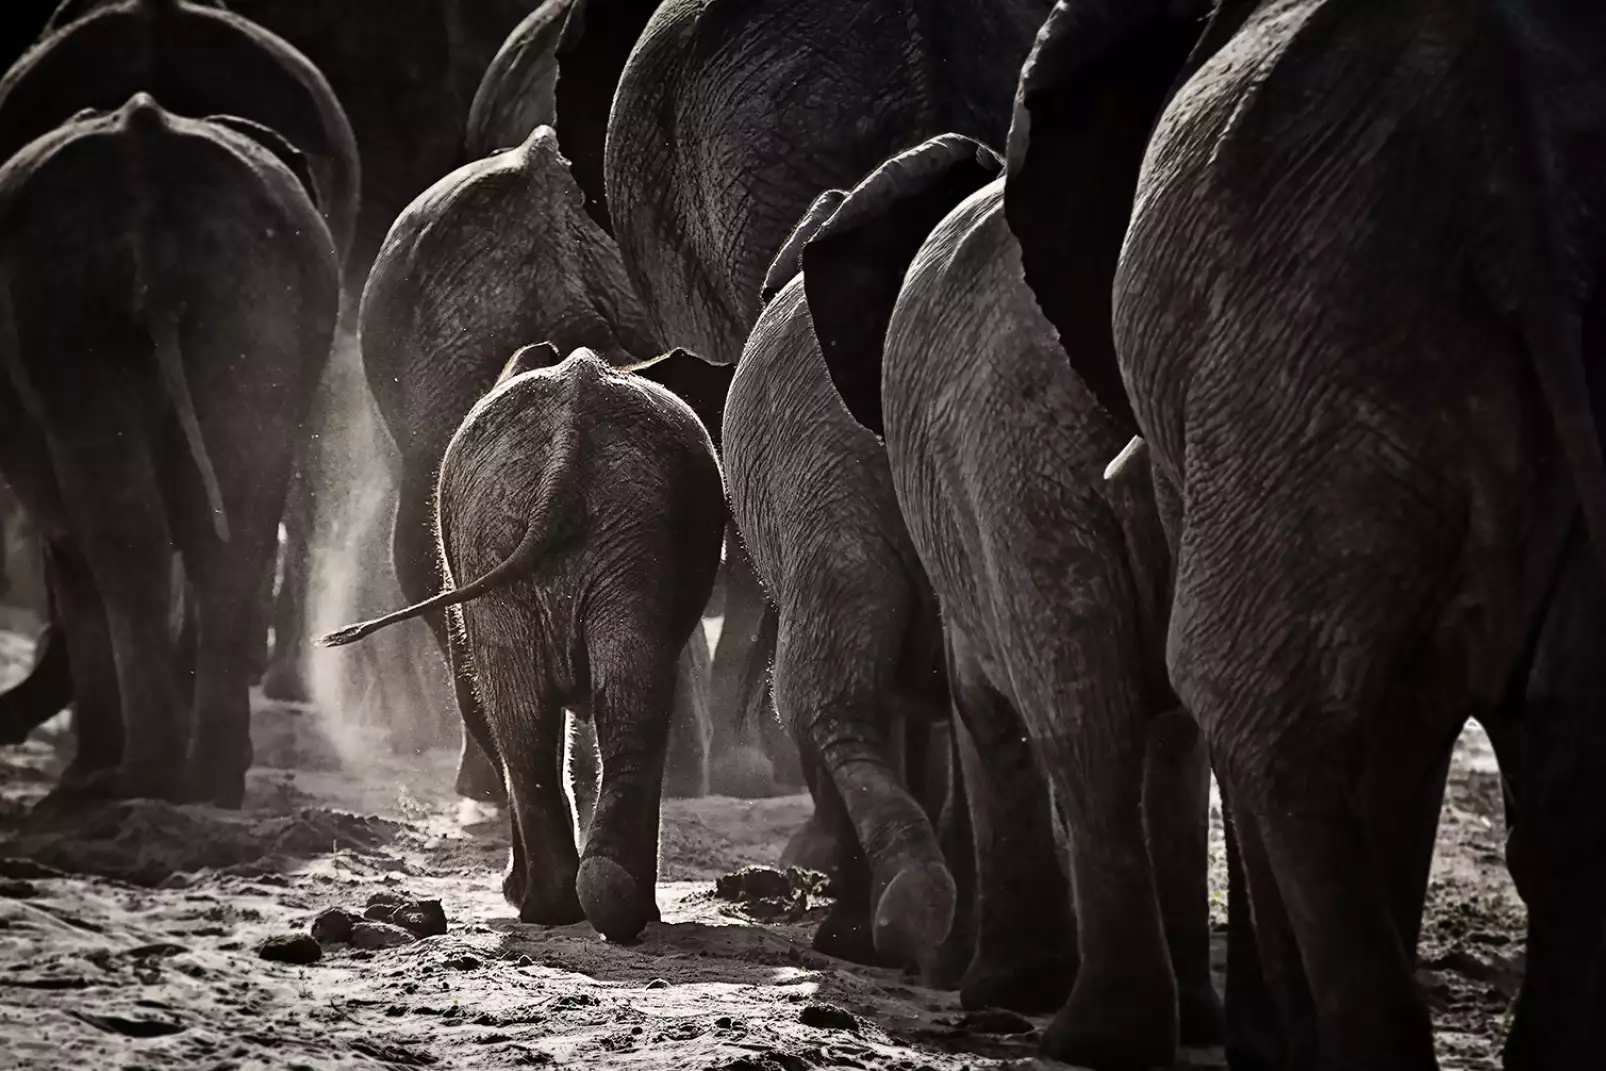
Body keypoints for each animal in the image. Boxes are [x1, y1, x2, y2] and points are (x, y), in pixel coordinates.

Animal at [0, 92, 339, 805]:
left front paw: (85, 774)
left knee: (121, 535)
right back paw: (206, 782)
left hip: (62, 306)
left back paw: (126, 779)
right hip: (256, 302)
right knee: (234, 525)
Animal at [319, 344, 727, 942]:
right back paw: (588, 904)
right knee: (583, 707)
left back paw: (565, 905)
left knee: (537, 714)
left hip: (576, 533)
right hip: (560, 531)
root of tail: (567, 444)